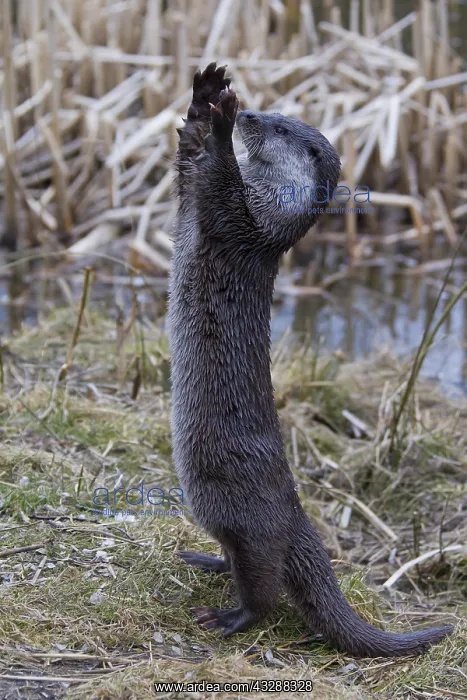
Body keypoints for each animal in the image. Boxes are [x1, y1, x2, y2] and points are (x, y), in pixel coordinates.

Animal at [167, 62, 453, 657]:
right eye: (274, 112)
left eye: (278, 127)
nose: (250, 115)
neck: (270, 201)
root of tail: (298, 518)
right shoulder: (196, 197)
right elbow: (188, 161)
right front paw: (205, 96)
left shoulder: (251, 225)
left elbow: (221, 180)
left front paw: (223, 126)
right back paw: (206, 561)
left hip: (246, 516)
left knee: (264, 588)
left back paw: (228, 617)